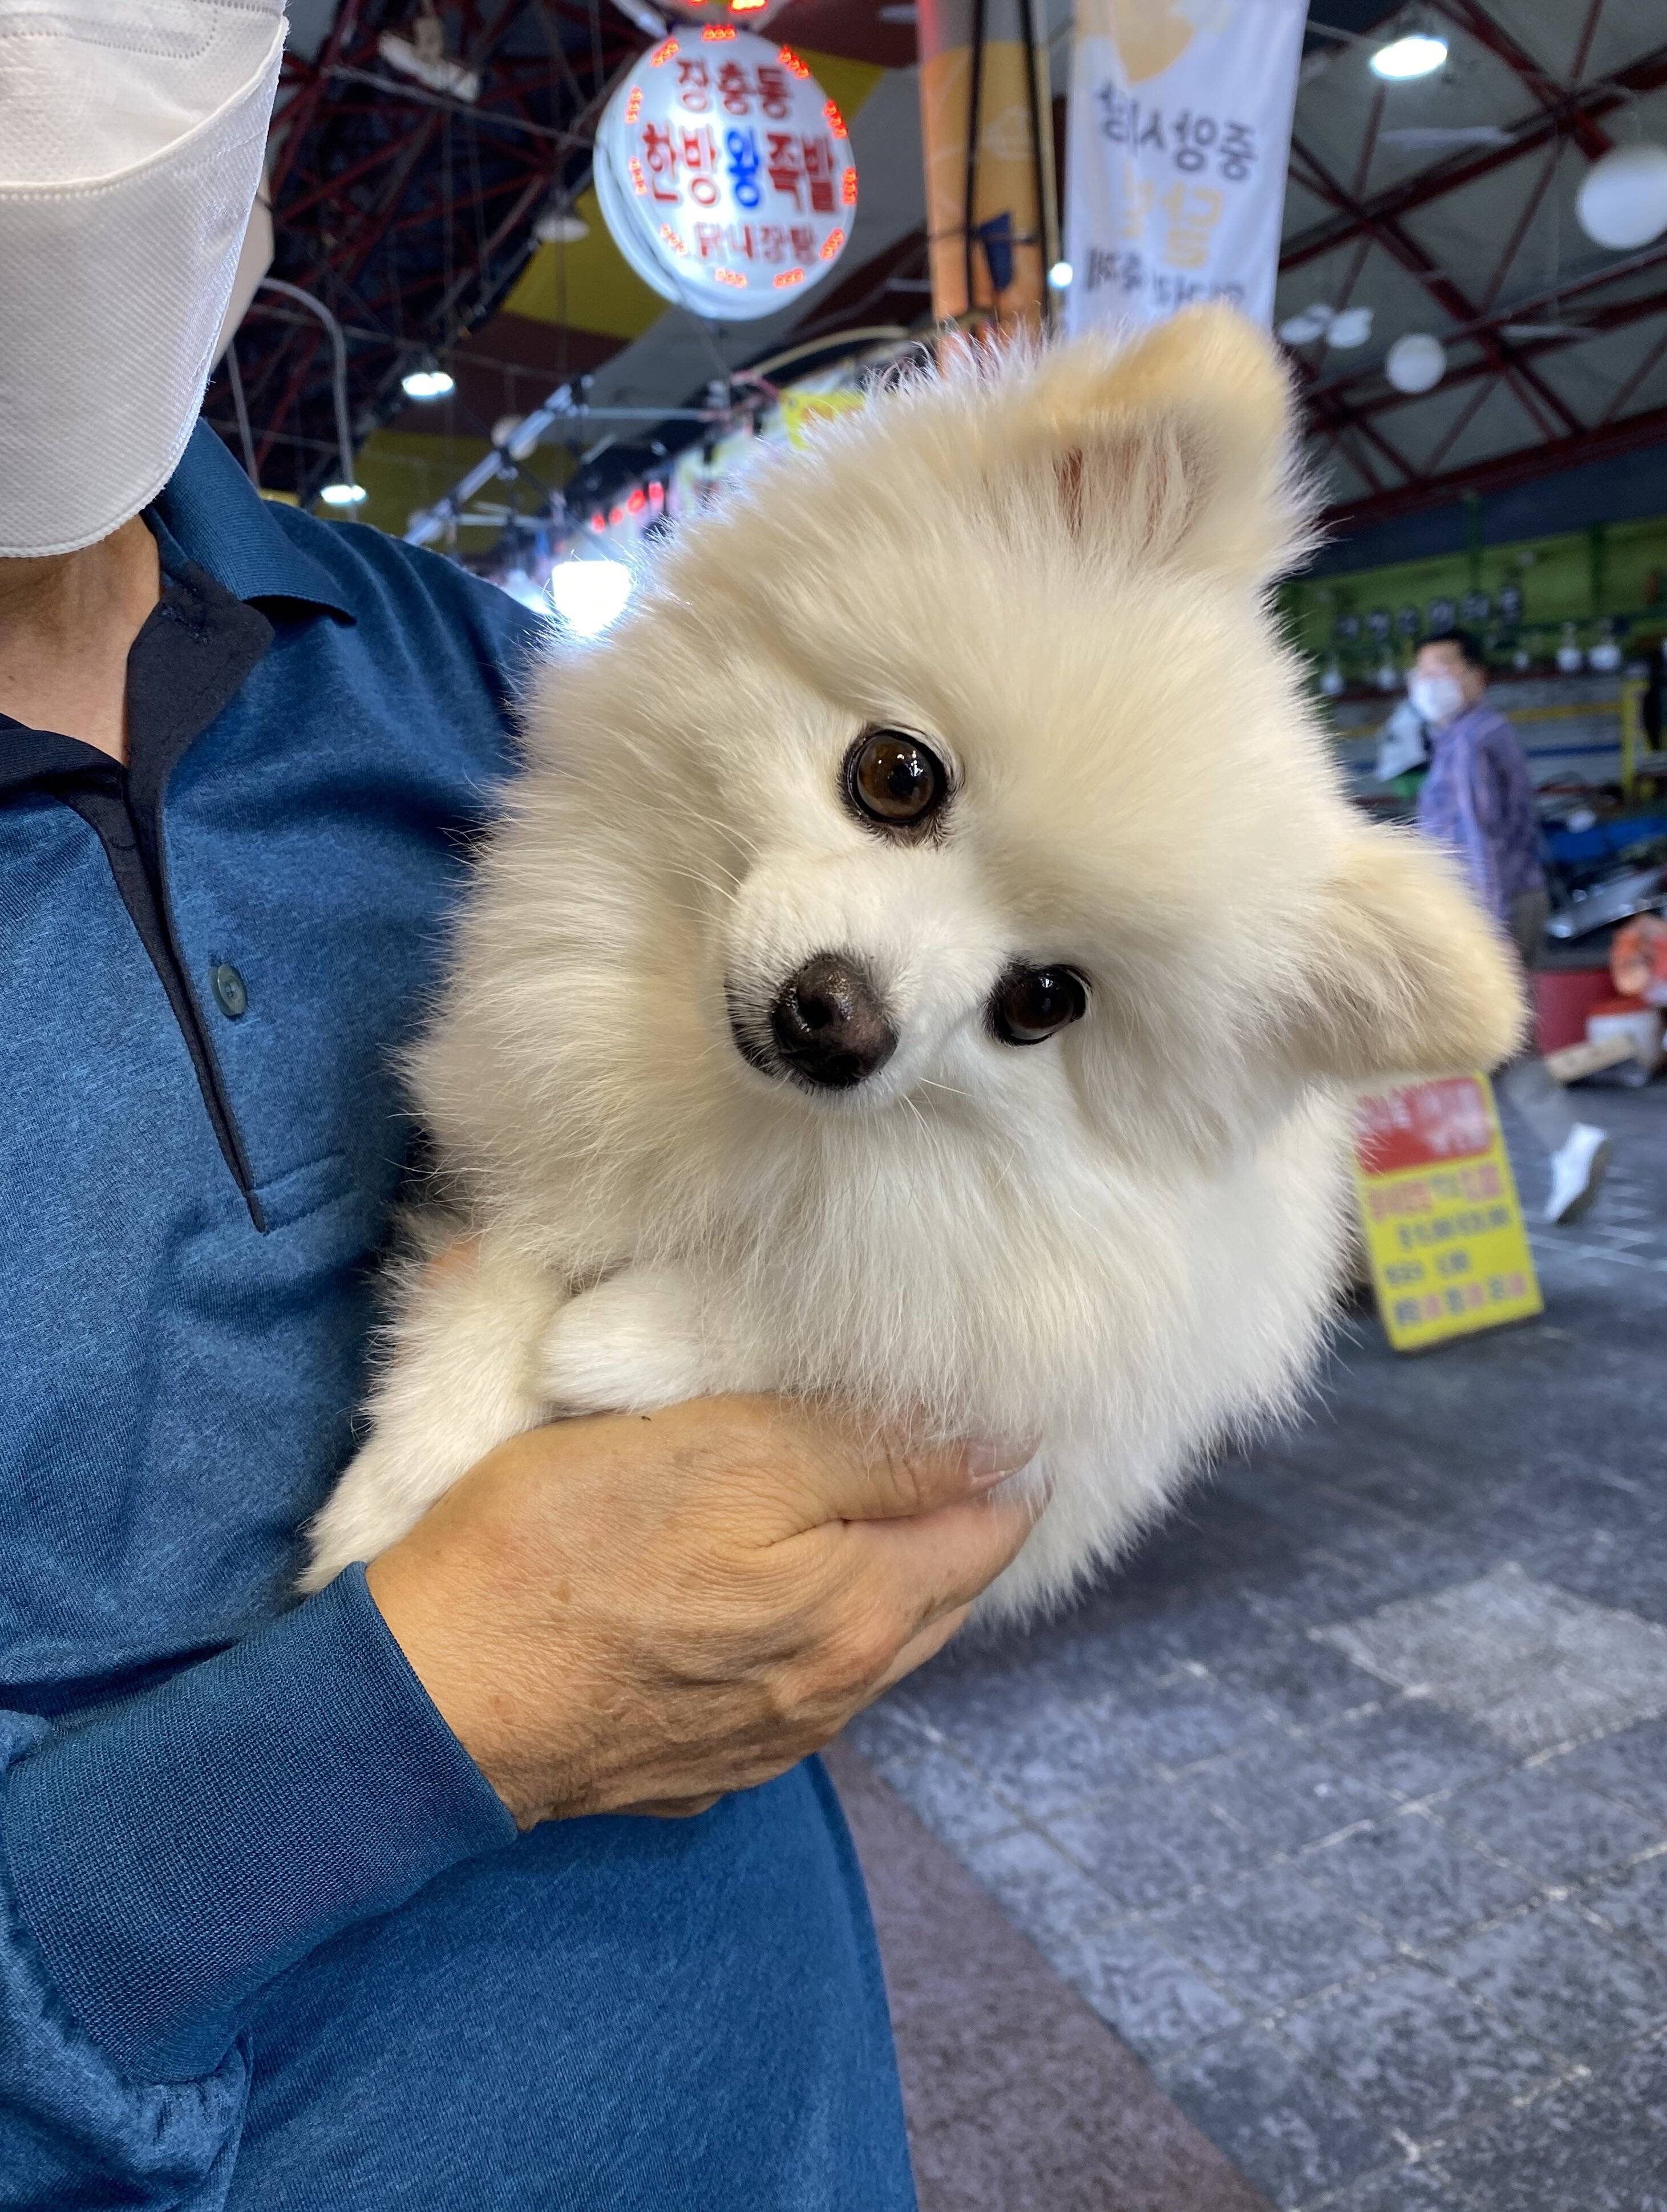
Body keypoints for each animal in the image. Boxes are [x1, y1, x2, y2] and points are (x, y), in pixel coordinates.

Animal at [303, 307, 1523, 1628]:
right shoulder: (528, 1135)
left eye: (1042, 1003)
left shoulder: (1064, 1316)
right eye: (897, 774)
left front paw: (621, 1338)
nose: (839, 1020)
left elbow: (871, 1325)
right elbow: (498, 1279)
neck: (734, 1116)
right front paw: (401, 1491)